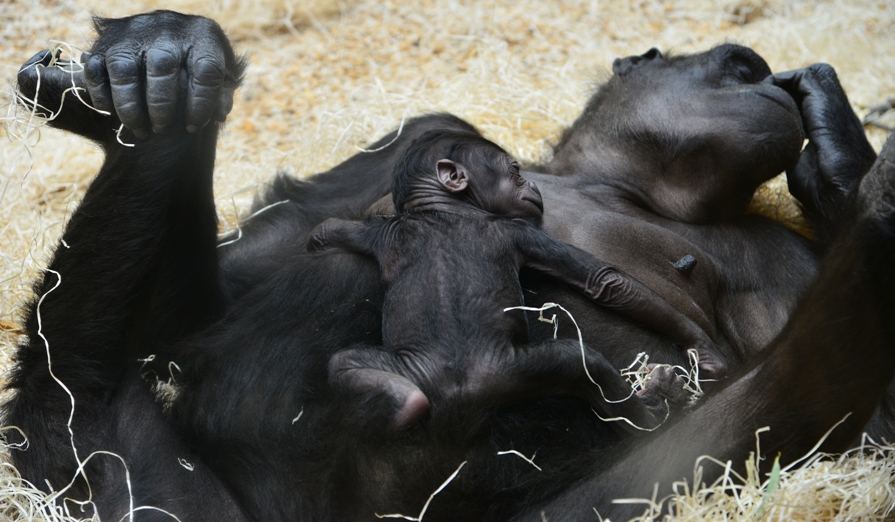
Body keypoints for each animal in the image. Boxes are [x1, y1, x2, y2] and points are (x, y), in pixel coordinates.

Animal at [310, 129, 712, 426]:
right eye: (516, 171)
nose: (531, 187)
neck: (441, 209)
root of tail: (460, 391)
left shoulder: (380, 231)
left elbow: (331, 229)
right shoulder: (521, 231)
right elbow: (604, 281)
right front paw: (703, 350)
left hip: (410, 368)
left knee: (344, 364)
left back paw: (404, 407)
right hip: (513, 370)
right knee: (580, 362)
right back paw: (655, 406)